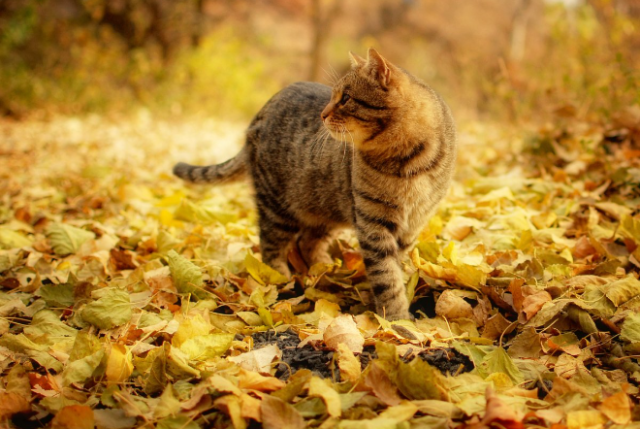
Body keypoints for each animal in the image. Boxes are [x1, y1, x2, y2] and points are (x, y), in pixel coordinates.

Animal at [174, 48, 456, 320]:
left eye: (345, 98)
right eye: (333, 97)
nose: (322, 114)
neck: (407, 162)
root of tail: (260, 113)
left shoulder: (412, 226)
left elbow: (398, 267)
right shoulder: (373, 223)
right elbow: (386, 276)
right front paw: (396, 319)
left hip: (326, 209)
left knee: (307, 242)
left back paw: (327, 269)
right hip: (277, 207)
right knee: (271, 244)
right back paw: (280, 277)